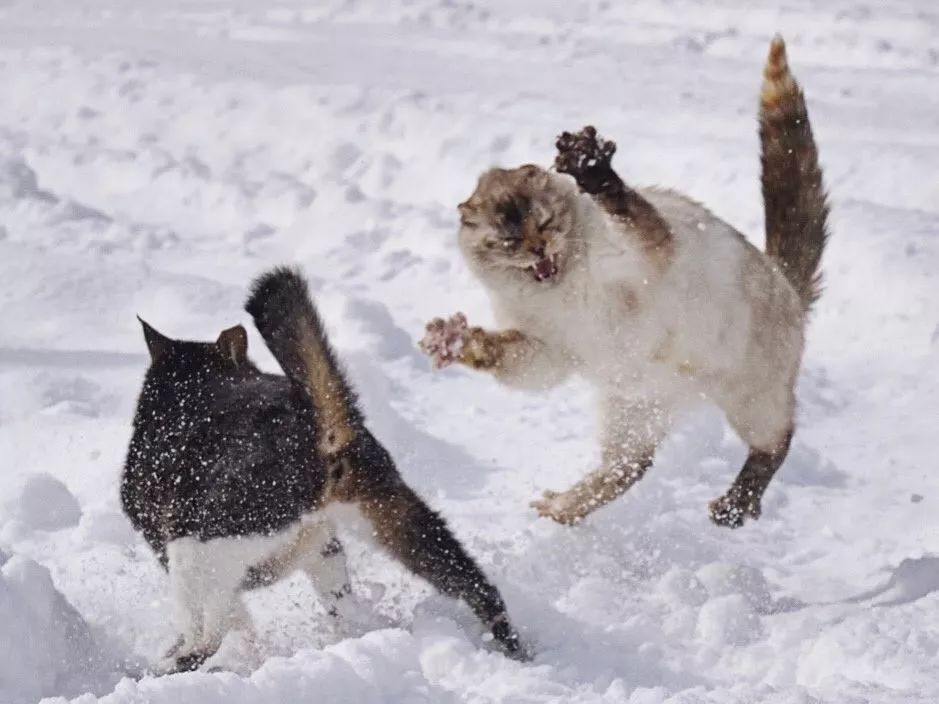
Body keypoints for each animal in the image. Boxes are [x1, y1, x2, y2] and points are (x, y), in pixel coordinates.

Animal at [121, 266, 524, 672]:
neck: (190, 392)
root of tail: (316, 427)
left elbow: (232, 620)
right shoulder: (323, 548)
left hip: (199, 544)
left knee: (207, 636)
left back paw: (169, 665)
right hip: (399, 520)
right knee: (476, 586)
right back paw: (514, 650)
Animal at [422, 33, 828, 528]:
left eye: (545, 222)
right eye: (509, 240)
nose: (538, 250)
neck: (561, 289)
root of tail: (784, 279)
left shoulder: (646, 253)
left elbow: (625, 206)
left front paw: (589, 165)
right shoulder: (544, 350)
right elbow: (496, 352)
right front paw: (450, 339)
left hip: (748, 398)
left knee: (777, 441)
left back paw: (732, 508)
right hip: (634, 407)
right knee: (629, 467)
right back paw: (560, 508)